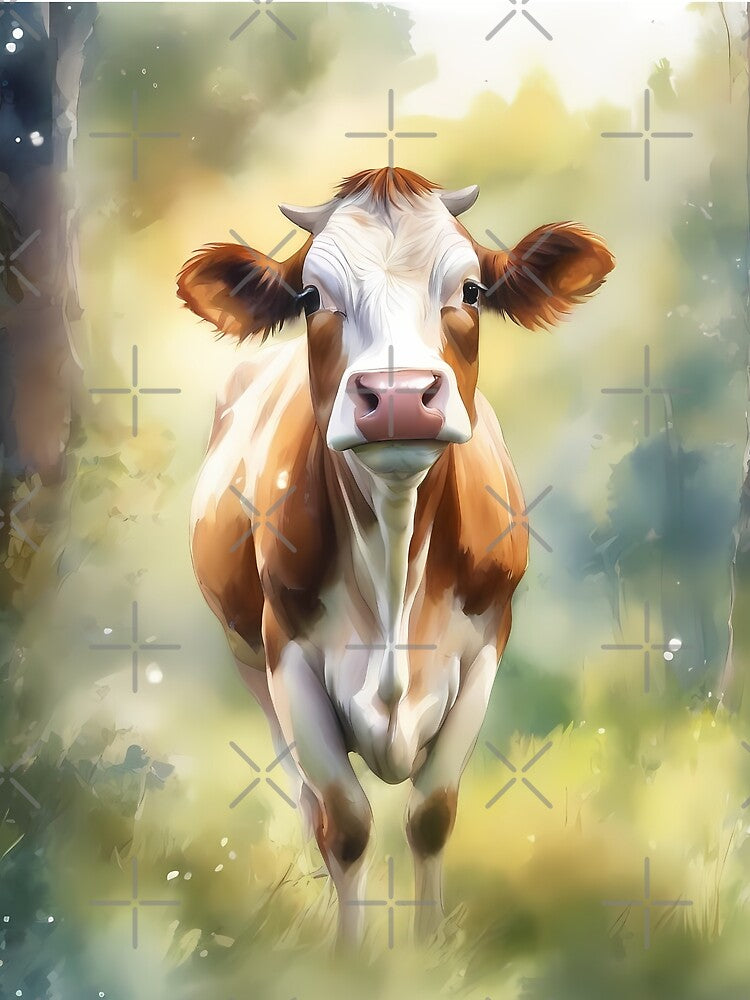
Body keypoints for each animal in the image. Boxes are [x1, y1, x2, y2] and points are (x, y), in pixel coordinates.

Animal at [177, 167, 614, 948]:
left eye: (470, 290)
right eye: (311, 297)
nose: (400, 397)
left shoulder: (485, 646)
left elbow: (431, 815)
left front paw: (430, 949)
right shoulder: (287, 656)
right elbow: (345, 823)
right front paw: (351, 957)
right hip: (248, 663)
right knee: (308, 805)